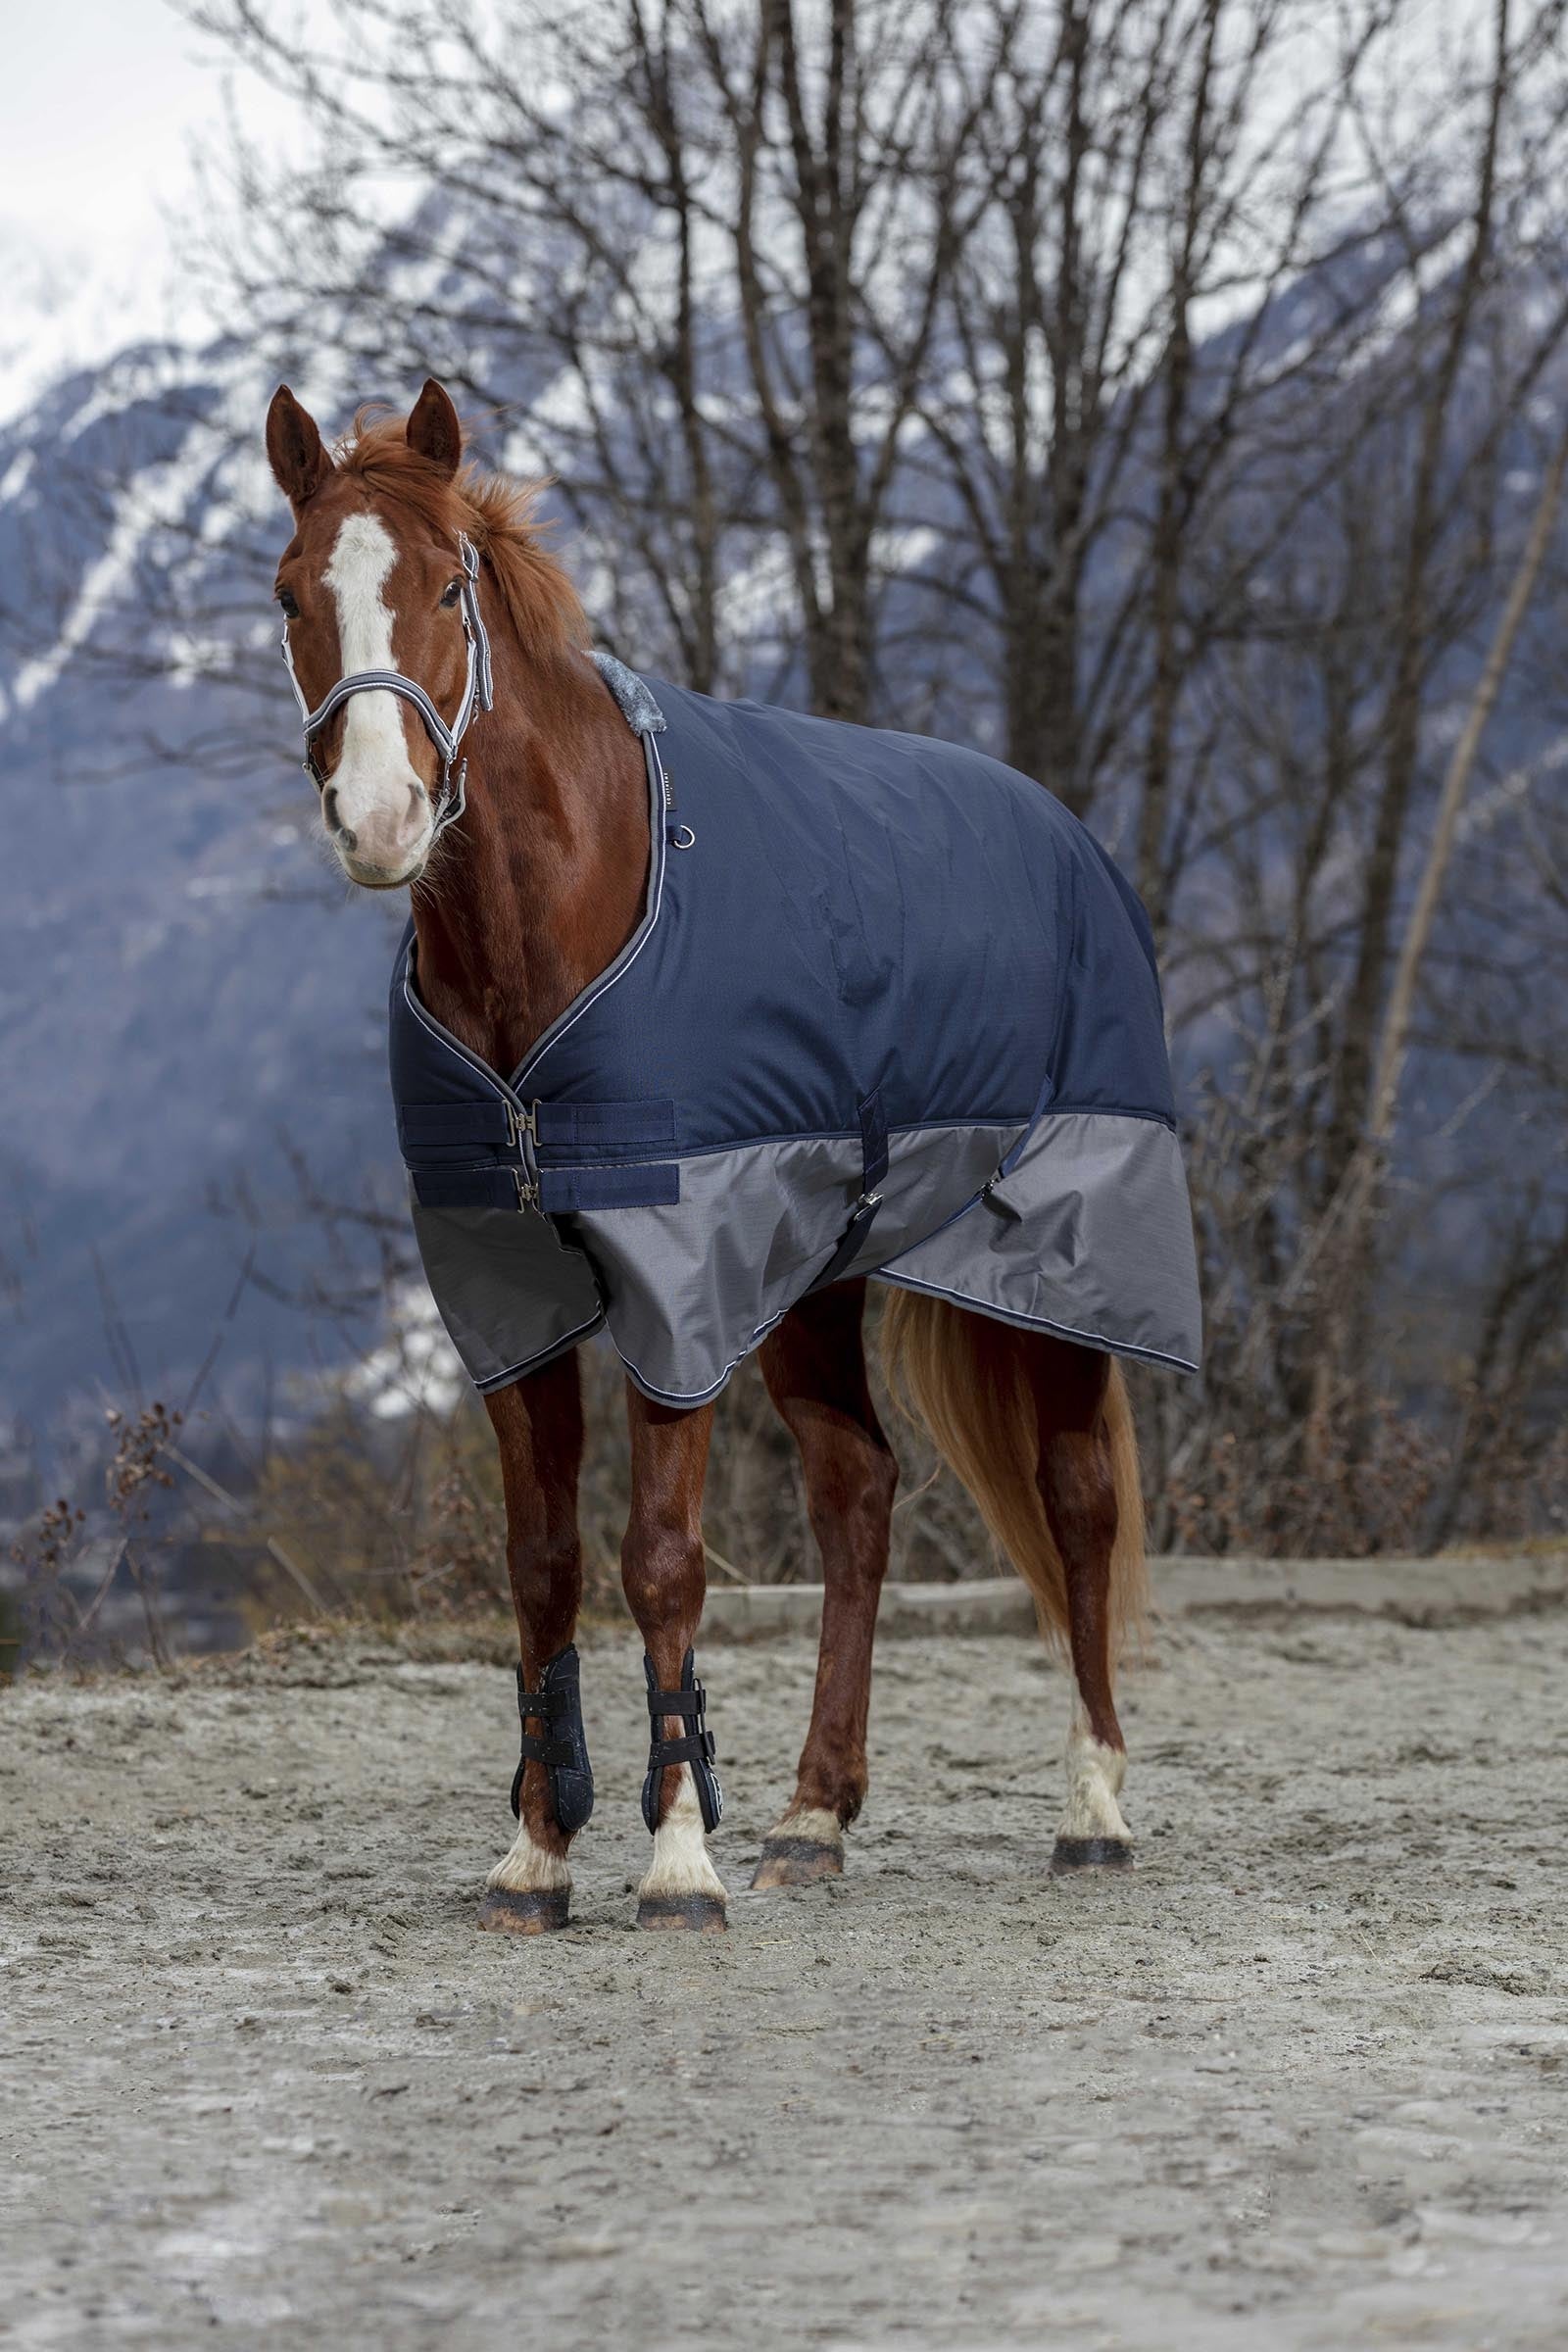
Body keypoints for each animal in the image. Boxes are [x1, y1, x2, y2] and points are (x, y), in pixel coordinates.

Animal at [263, 378, 1198, 1933]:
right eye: (291, 598)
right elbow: (541, 1566)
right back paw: (814, 1816)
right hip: (817, 1274)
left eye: (448, 586)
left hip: (1065, 1264)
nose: (381, 820)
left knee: (1077, 1504)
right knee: (858, 1495)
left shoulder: (679, 1279)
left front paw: (675, 1860)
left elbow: (658, 1562)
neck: (563, 921)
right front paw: (539, 1853)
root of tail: (1066, 832)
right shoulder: (507, 1290)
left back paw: (1095, 1810)